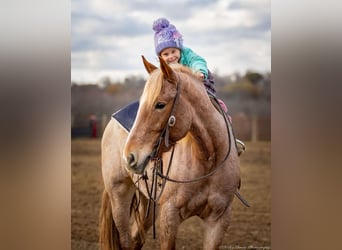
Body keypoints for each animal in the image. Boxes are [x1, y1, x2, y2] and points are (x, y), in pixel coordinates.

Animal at [99, 56, 246, 250]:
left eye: (160, 104)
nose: (129, 157)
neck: (209, 158)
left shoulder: (219, 219)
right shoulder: (169, 215)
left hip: (149, 204)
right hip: (119, 195)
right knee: (125, 241)